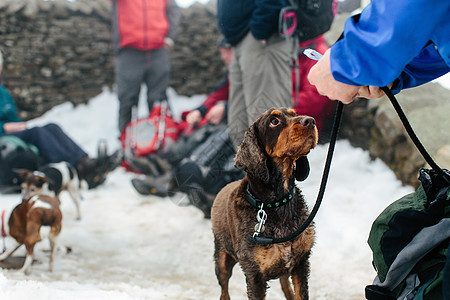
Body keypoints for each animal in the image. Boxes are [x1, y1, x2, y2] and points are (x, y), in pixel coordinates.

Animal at [213, 108, 318, 300]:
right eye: (274, 121)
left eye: (294, 113)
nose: (310, 121)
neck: (277, 203)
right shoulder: (255, 275)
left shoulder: (301, 262)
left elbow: (300, 294)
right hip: (221, 259)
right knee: (224, 289)